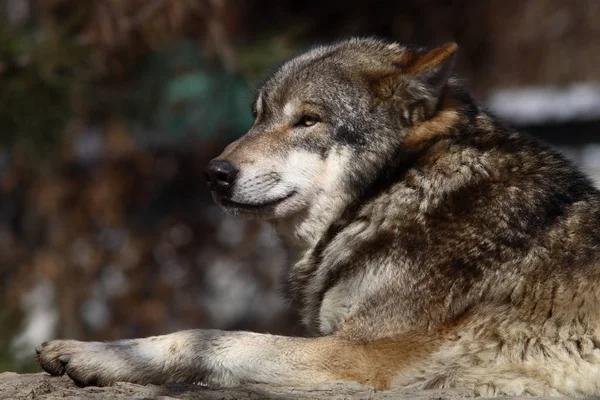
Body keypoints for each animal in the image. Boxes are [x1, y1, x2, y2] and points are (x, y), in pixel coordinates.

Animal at [36, 38, 600, 396]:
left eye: (308, 120)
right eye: (258, 116)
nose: (214, 173)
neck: (395, 192)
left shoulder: (362, 356)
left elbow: (212, 338)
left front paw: (97, 355)